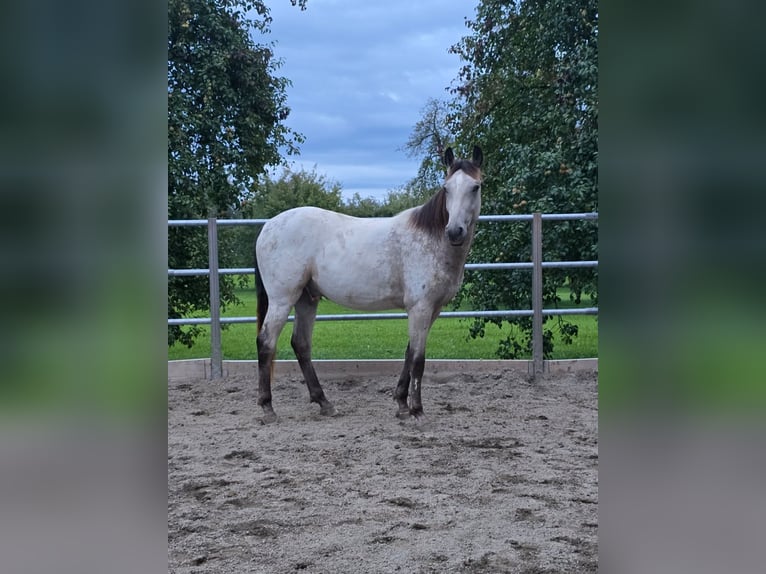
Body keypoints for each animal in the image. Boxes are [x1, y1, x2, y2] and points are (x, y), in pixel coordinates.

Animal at [254, 146, 483, 423]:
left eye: (475, 187)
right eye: (447, 188)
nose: (454, 231)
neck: (431, 240)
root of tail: (268, 226)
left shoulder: (432, 310)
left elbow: (409, 354)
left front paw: (402, 405)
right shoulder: (420, 307)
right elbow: (418, 360)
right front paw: (417, 411)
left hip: (306, 299)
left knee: (301, 344)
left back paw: (325, 403)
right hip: (282, 299)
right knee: (266, 342)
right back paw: (268, 408)